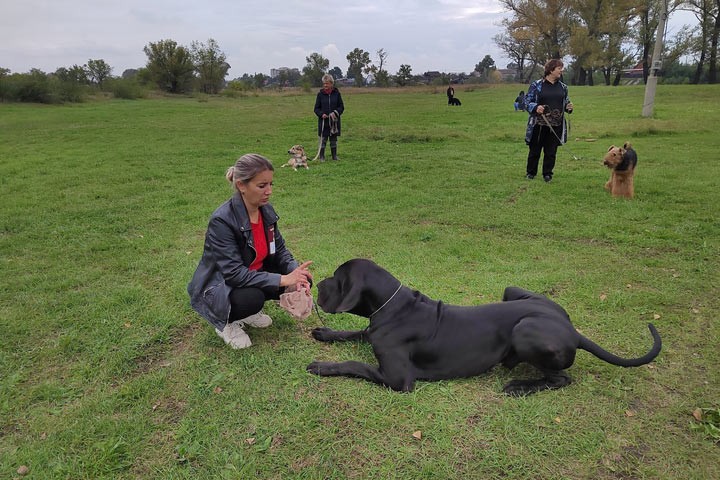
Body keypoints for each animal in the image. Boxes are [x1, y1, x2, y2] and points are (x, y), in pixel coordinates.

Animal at [306, 260, 660, 396]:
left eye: (336, 279)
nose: (314, 283)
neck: (392, 306)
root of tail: (573, 330)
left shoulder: (398, 380)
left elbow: (356, 364)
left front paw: (322, 365)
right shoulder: (372, 331)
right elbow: (356, 333)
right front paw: (327, 333)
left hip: (524, 331)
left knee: (561, 378)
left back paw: (520, 386)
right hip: (513, 290)